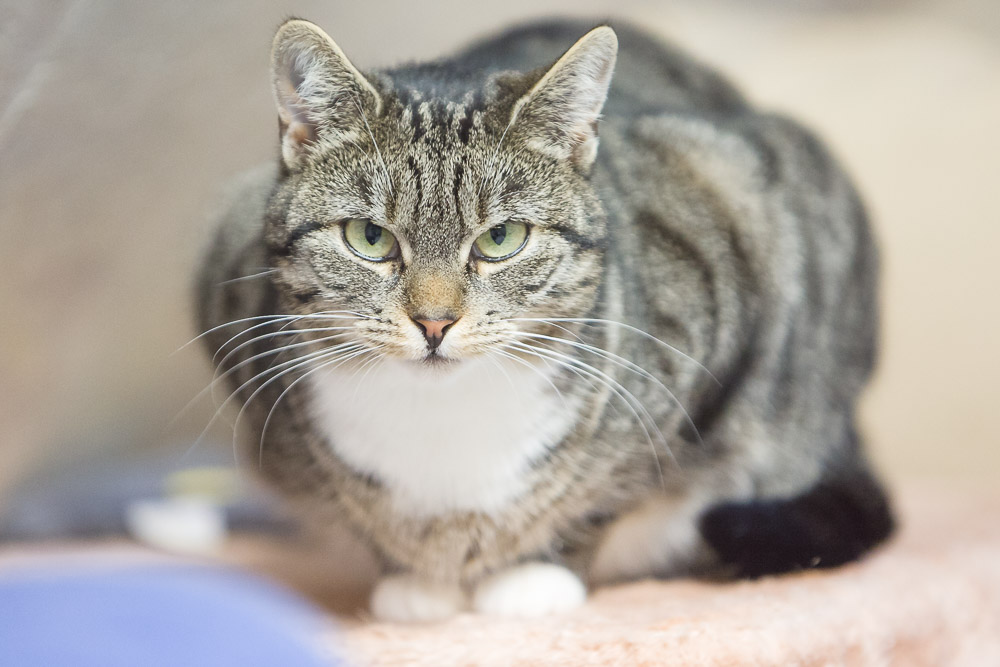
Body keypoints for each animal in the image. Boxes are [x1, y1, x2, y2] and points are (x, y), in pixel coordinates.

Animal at [193, 17, 892, 620]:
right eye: (369, 237)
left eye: (501, 238)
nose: (434, 322)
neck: (443, 420)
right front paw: (415, 581)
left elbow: (616, 485)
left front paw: (534, 575)